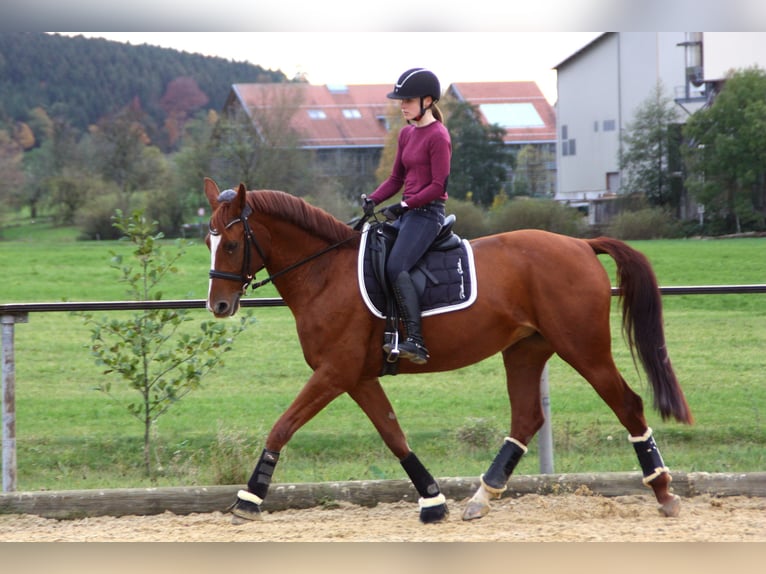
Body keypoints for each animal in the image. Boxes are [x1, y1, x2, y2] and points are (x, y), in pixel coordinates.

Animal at [204, 179, 696, 528]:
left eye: (231, 244)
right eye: (207, 242)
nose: (219, 306)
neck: (325, 273)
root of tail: (580, 244)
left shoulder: (334, 372)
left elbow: (282, 426)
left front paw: (249, 497)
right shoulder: (357, 376)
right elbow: (394, 434)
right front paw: (432, 500)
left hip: (584, 349)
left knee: (627, 404)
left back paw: (664, 492)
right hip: (525, 350)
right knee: (527, 419)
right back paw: (481, 497)